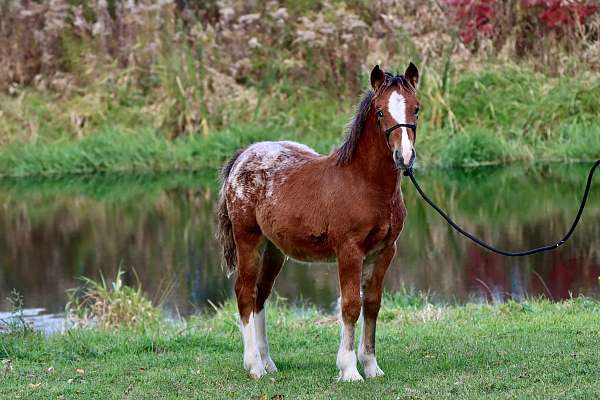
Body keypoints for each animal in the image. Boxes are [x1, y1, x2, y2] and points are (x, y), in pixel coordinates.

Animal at [218, 62, 420, 382]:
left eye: (416, 109)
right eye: (379, 112)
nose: (405, 156)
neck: (364, 184)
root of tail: (243, 156)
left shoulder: (385, 251)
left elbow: (372, 304)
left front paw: (372, 366)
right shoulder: (349, 251)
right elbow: (350, 305)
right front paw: (349, 369)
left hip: (274, 250)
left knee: (261, 295)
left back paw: (268, 362)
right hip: (248, 239)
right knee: (245, 293)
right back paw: (254, 366)